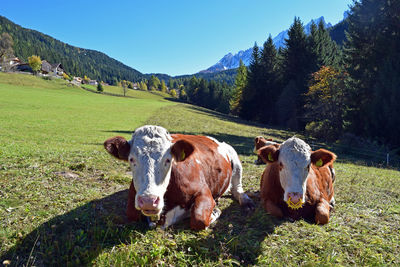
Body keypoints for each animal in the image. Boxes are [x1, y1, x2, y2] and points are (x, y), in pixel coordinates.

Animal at [103, 125, 253, 230]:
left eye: (168, 160)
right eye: (131, 159)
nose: (148, 201)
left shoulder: (204, 191)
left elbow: (198, 219)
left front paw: (214, 211)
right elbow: (131, 214)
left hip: (235, 158)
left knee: (237, 189)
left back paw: (246, 202)